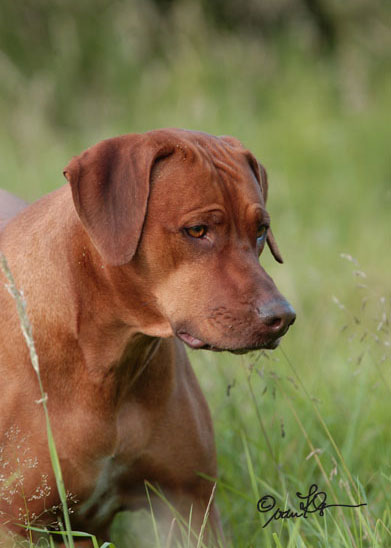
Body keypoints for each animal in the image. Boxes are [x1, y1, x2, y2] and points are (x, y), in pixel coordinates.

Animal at [0, 128, 294, 544]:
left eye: (261, 231)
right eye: (197, 230)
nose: (282, 316)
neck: (107, 361)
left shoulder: (186, 504)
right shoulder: (14, 523)